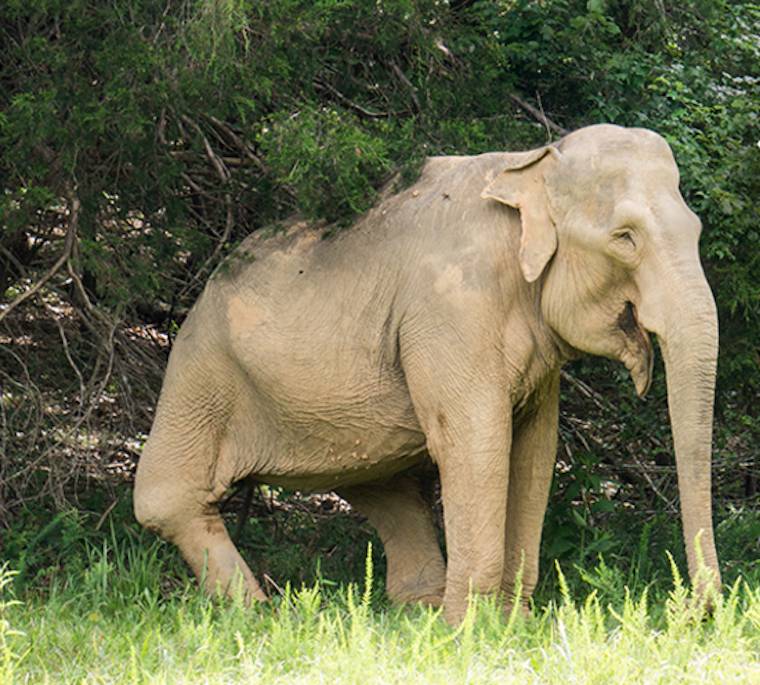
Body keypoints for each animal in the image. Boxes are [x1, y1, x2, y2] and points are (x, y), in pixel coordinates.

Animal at [134, 124, 721, 624]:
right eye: (625, 237)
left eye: (697, 230)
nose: (696, 611)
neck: (529, 164)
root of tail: (206, 283)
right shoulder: (449, 311)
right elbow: (477, 441)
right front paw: (473, 632)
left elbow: (535, 449)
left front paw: (512, 623)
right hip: (202, 371)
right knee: (165, 497)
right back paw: (260, 612)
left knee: (386, 489)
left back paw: (417, 610)